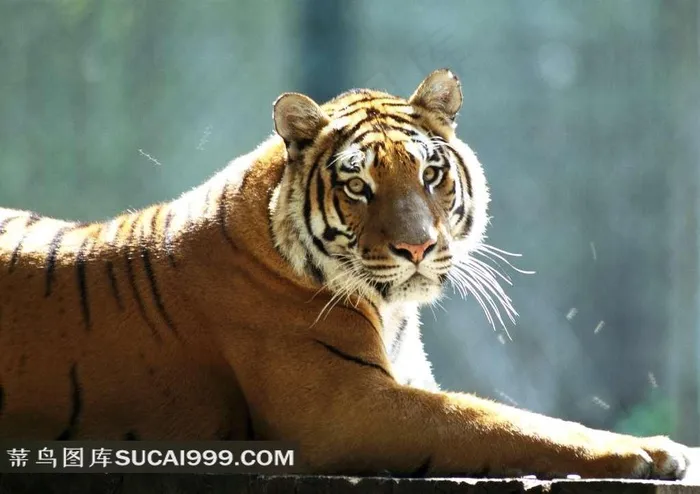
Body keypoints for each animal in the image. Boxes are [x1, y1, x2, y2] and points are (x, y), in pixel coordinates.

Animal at [0, 69, 690, 479]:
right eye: (358, 186)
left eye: (431, 174)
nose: (417, 247)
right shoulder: (347, 406)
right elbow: (497, 420)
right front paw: (648, 450)